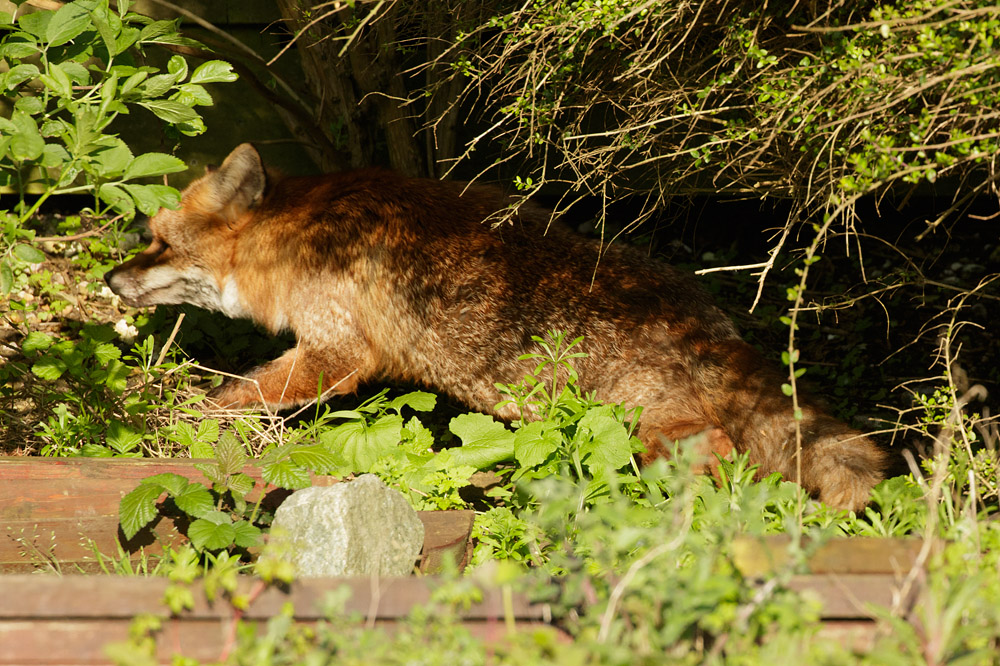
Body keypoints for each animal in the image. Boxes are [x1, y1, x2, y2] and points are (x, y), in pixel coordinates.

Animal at [105, 143, 887, 511]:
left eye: (158, 242)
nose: (110, 280)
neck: (295, 238)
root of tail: (709, 322)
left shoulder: (336, 352)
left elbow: (236, 394)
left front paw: (180, 420)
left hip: (643, 424)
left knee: (717, 455)